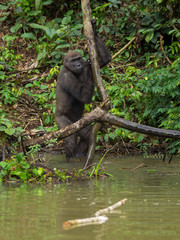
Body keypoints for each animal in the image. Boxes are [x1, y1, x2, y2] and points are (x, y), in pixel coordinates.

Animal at [55, 19, 111, 160]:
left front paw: (94, 30)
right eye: (73, 60)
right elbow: (82, 97)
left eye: (78, 58)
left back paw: (77, 155)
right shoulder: (67, 77)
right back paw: (69, 156)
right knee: (70, 139)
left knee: (88, 134)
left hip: (78, 122)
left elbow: (104, 61)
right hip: (62, 122)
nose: (78, 65)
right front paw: (88, 68)